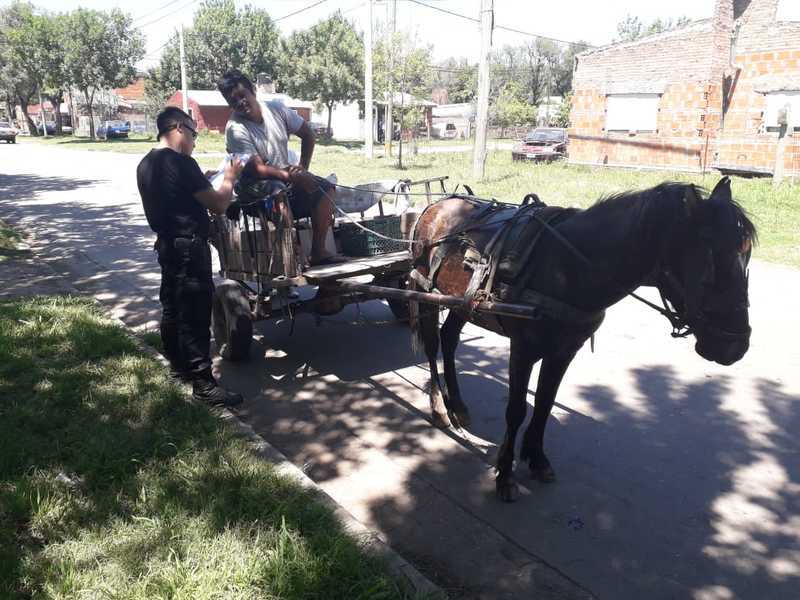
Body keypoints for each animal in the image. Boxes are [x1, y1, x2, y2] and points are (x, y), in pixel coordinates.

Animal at [410, 178, 752, 502]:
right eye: (711, 262)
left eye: (746, 256)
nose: (735, 345)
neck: (564, 266)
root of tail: (436, 205)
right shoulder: (523, 349)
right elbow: (516, 410)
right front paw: (505, 474)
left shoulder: (563, 350)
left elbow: (545, 402)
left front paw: (537, 458)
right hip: (426, 291)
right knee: (432, 345)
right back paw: (440, 408)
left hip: (461, 301)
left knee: (449, 338)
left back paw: (458, 404)